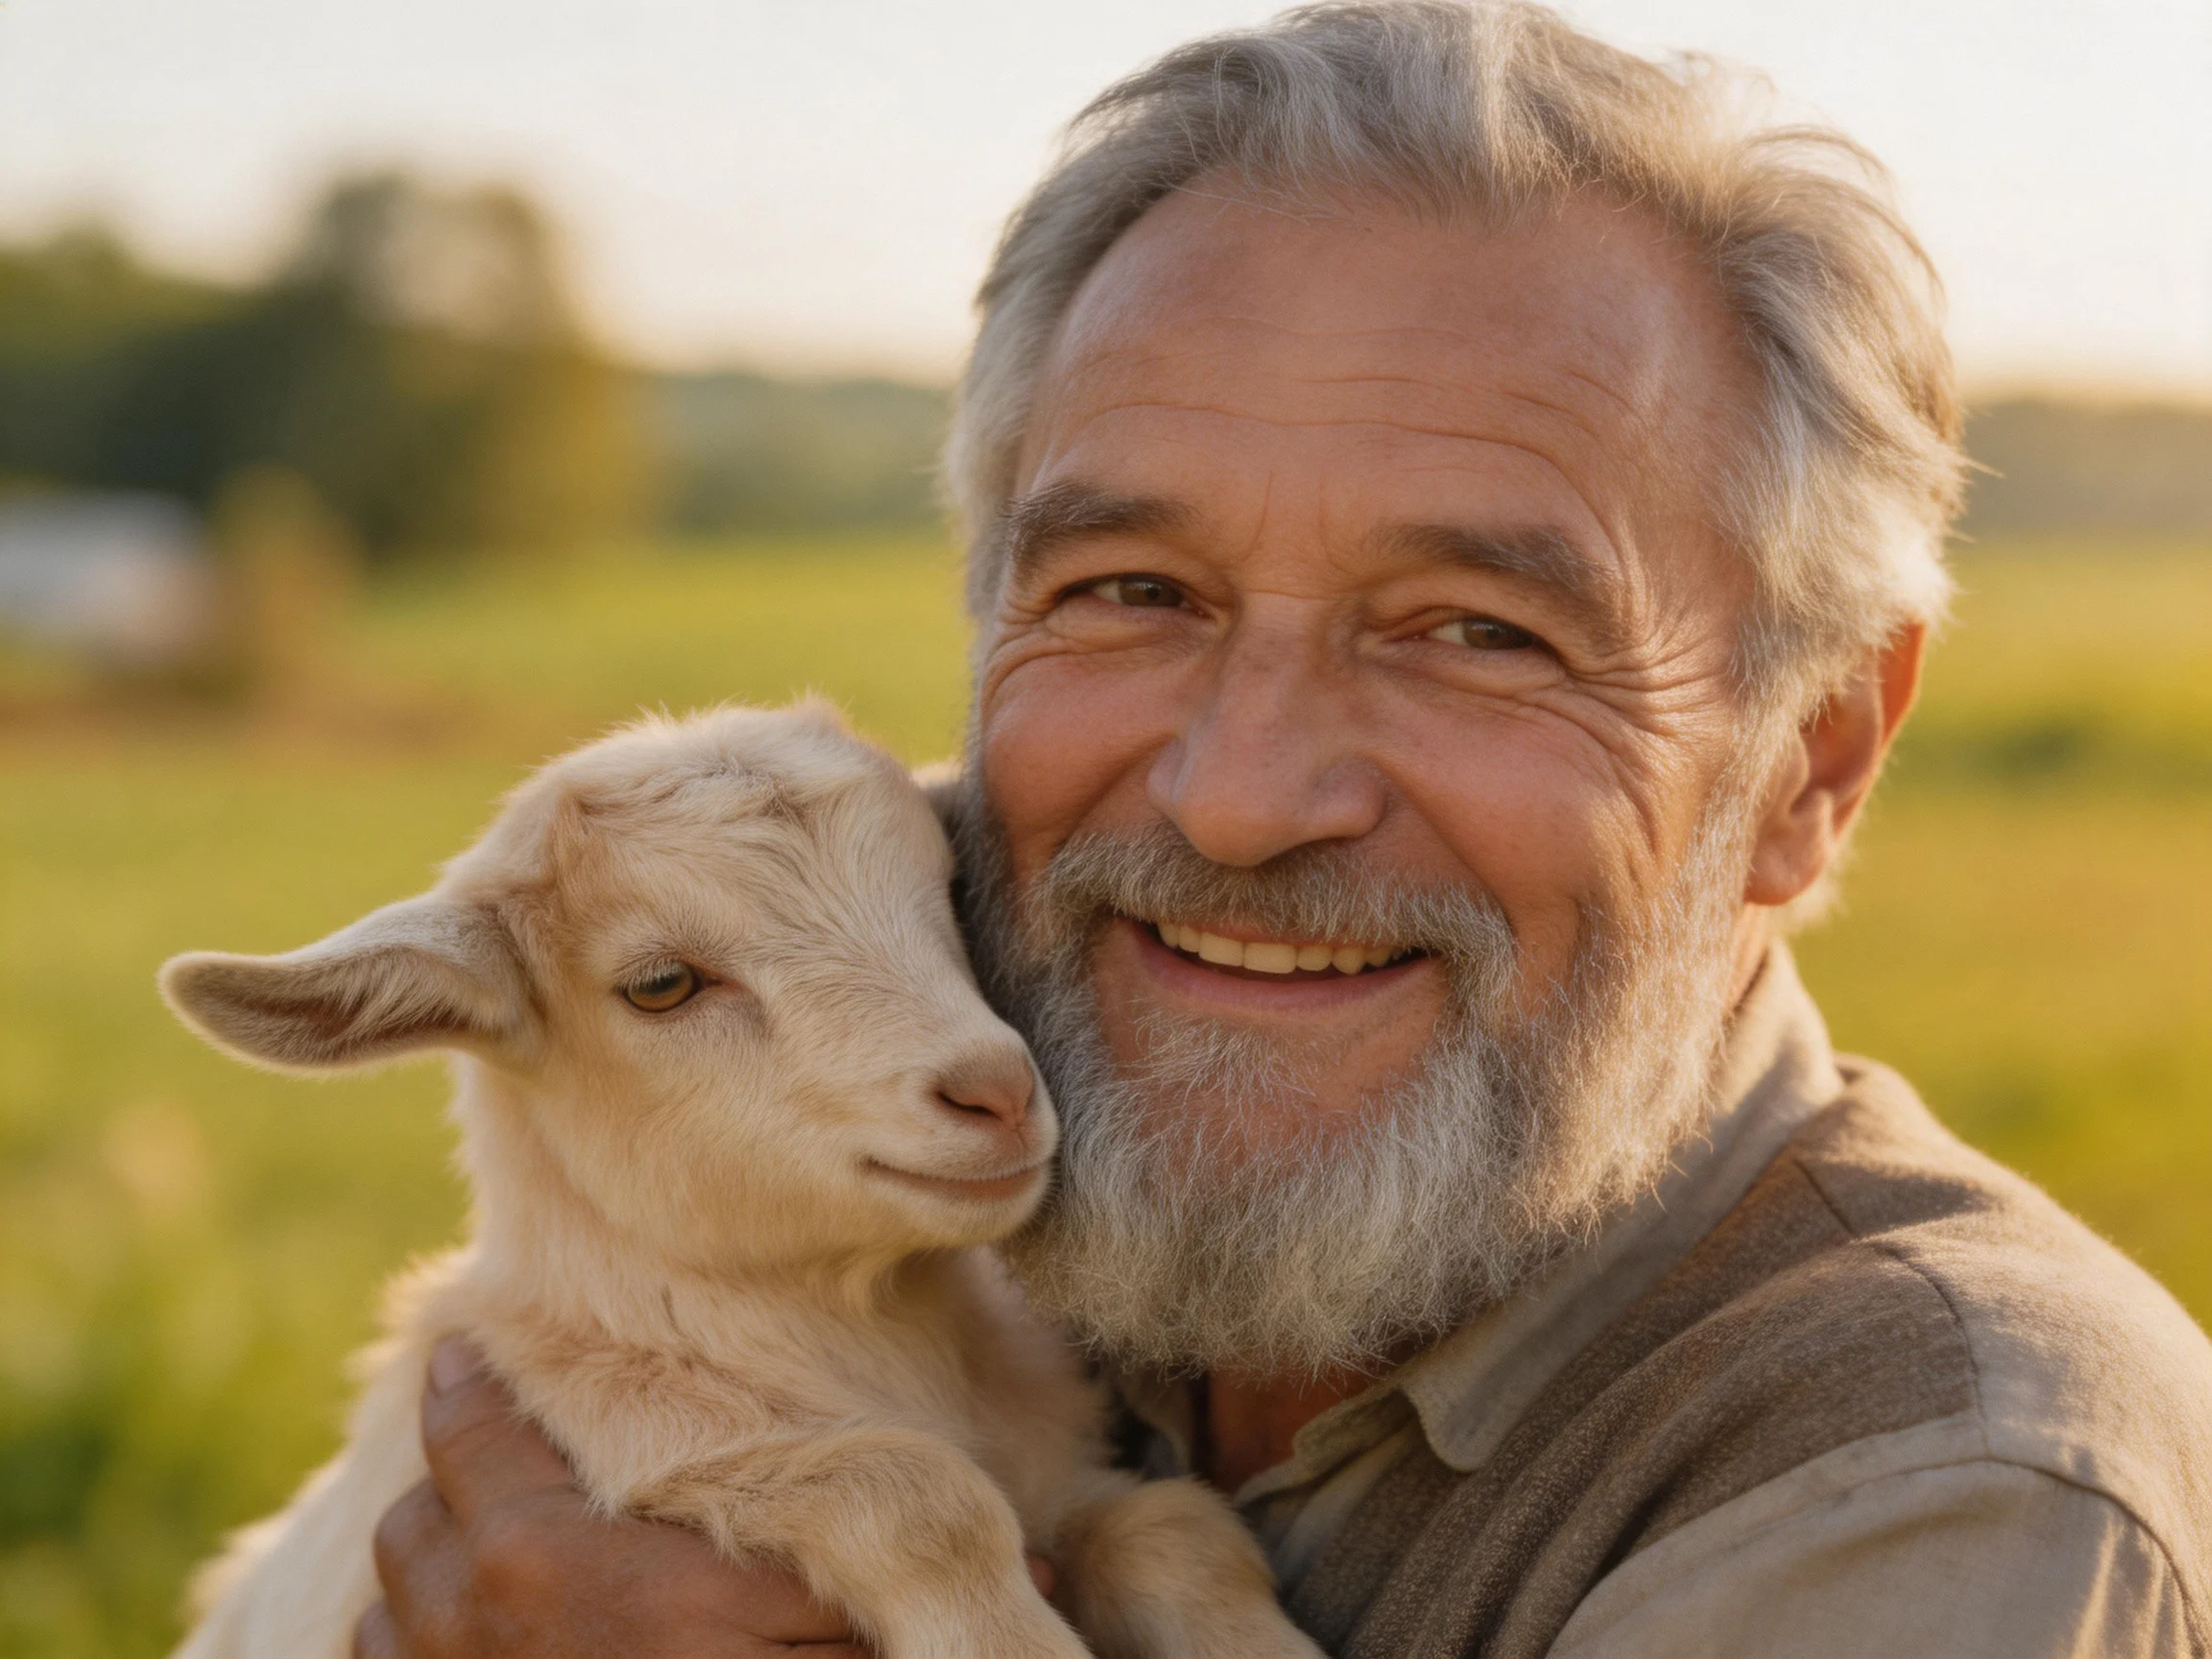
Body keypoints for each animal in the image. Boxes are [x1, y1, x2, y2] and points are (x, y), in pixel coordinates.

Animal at [160, 703, 1322, 1659]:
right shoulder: (645, 1444)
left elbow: (1171, 1526)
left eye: (950, 890)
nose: (993, 1091)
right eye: (660, 984)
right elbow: (922, 1498)